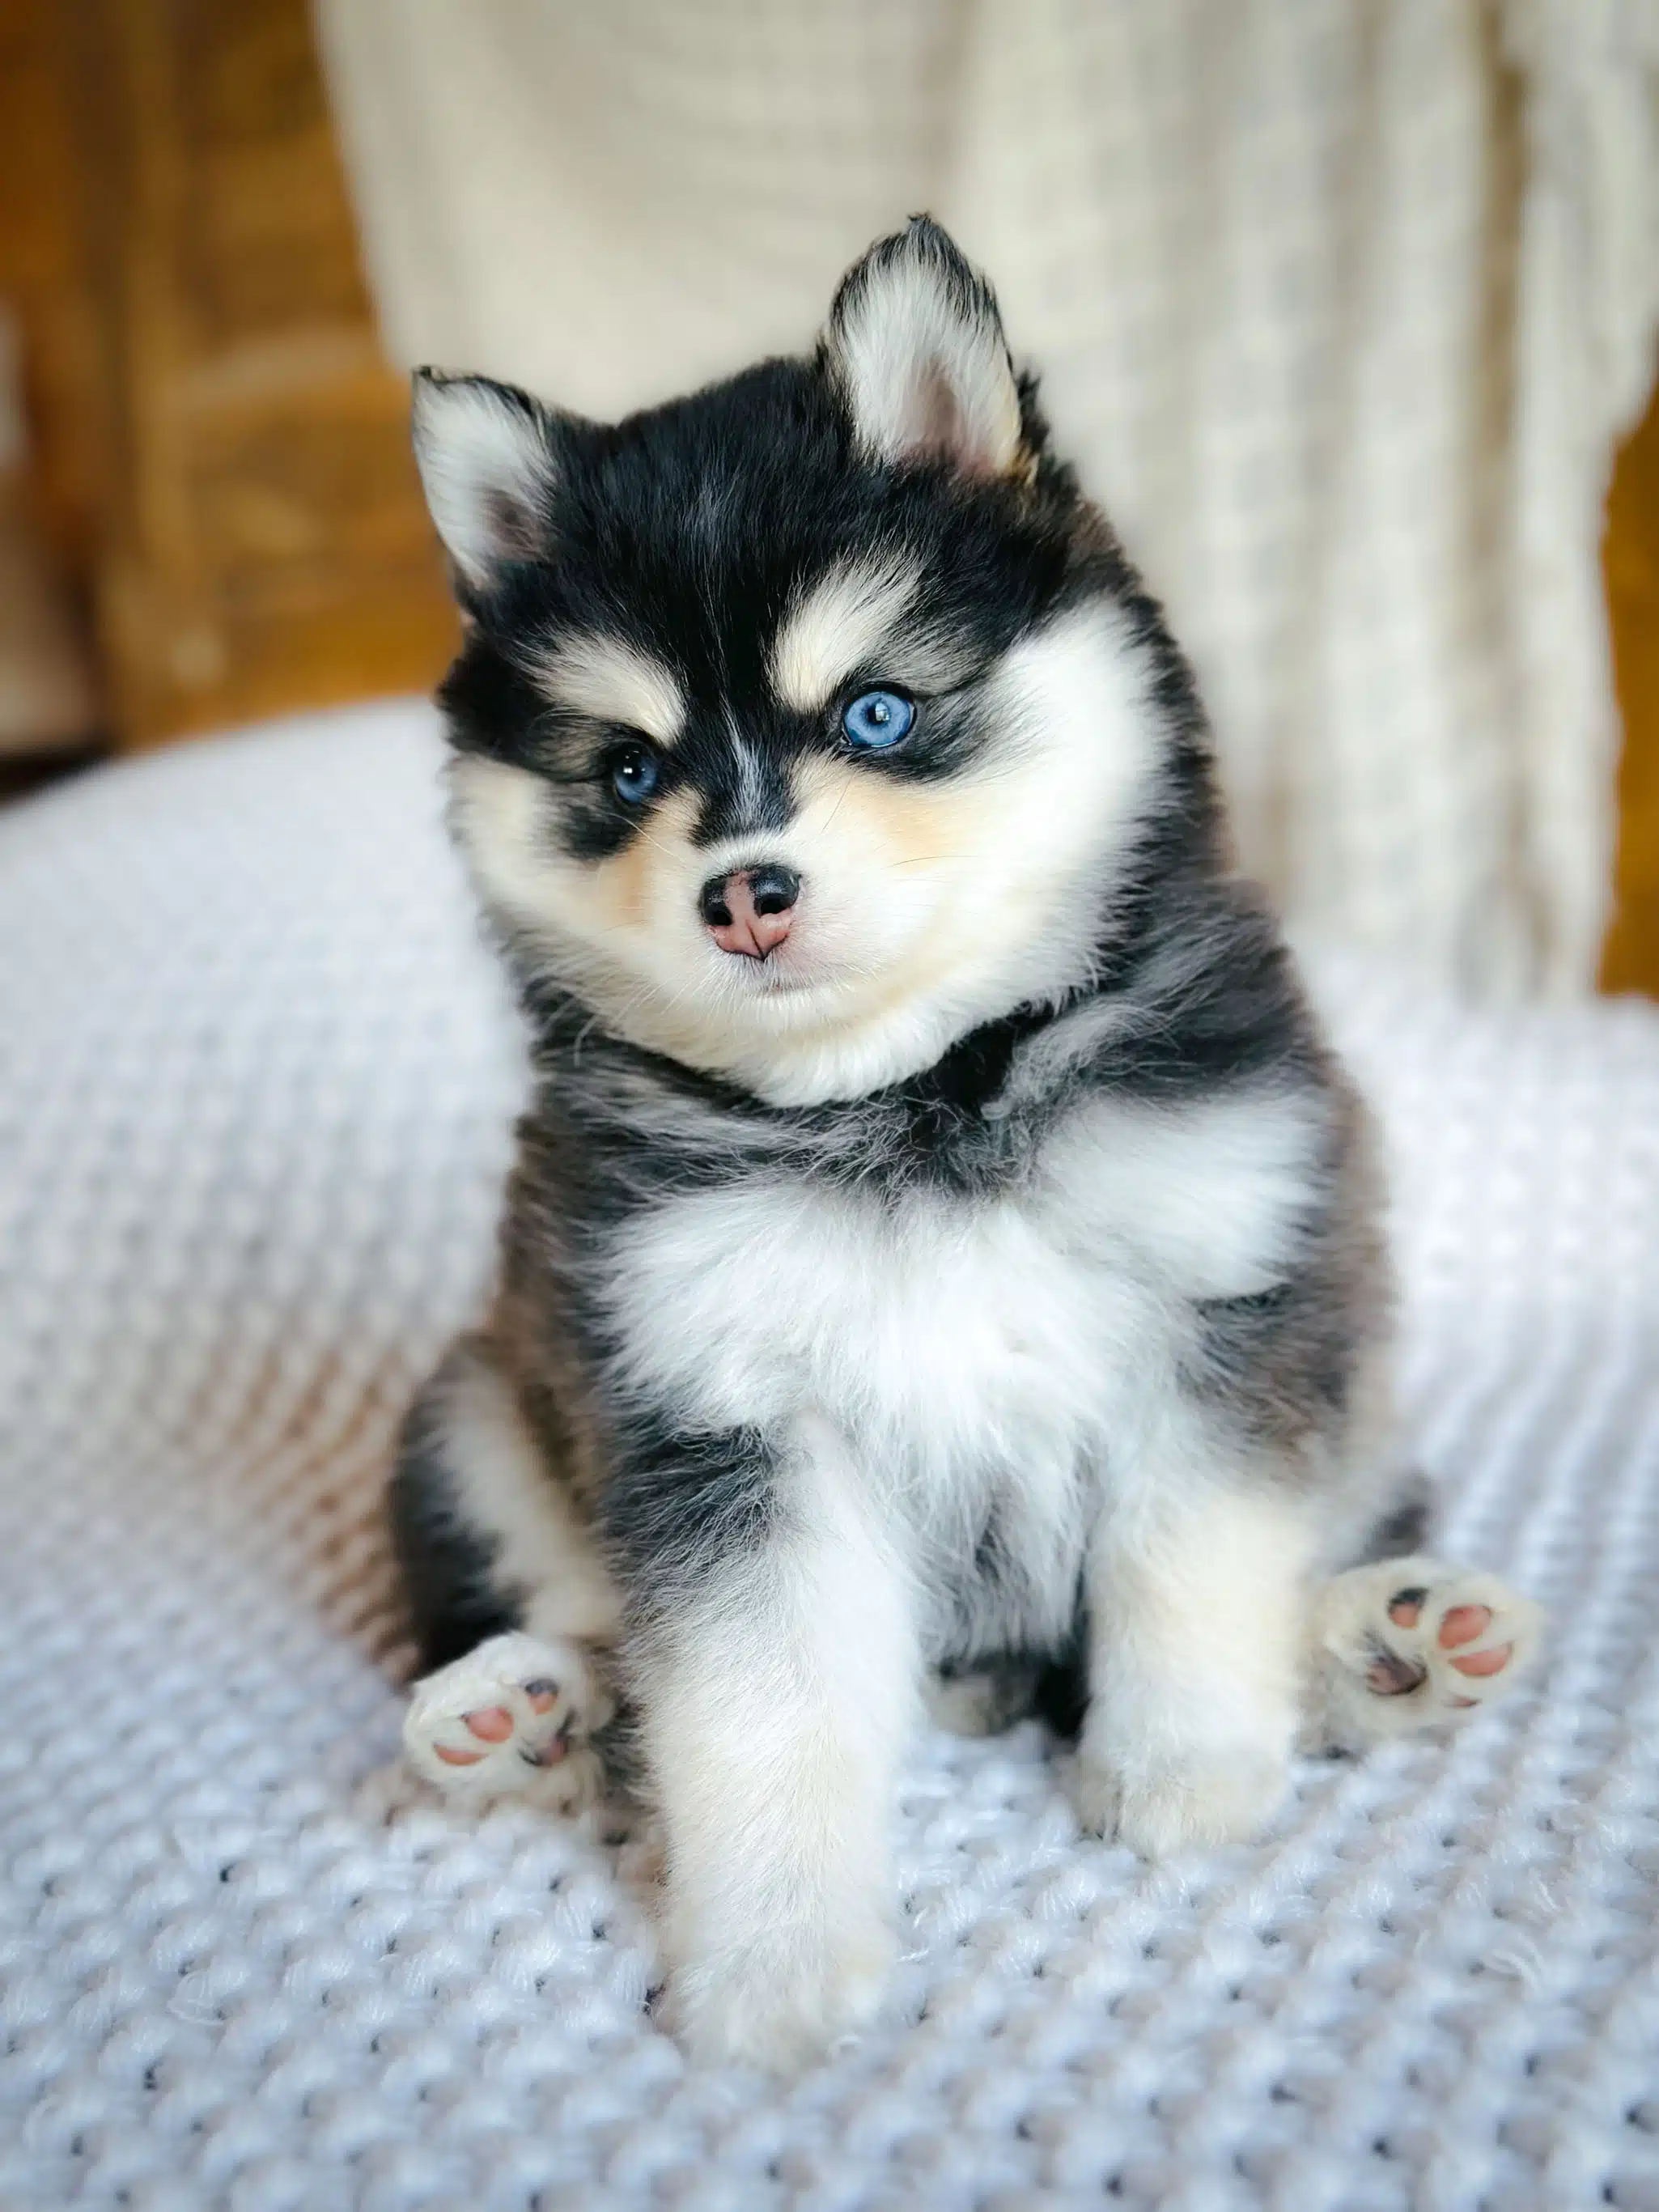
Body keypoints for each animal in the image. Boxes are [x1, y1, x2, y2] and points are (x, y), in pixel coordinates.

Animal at [389, 219, 1548, 2070]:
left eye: (875, 713)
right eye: (627, 770)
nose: (742, 890)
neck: (920, 1093)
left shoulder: (1225, 1305)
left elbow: (1190, 1562)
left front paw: (1183, 1767)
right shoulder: (719, 1422)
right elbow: (754, 1703)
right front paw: (774, 1953)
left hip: (1356, 1390)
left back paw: (1389, 1643)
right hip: (474, 1411)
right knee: (573, 1640)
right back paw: (530, 1713)